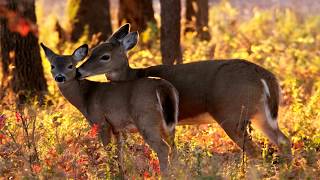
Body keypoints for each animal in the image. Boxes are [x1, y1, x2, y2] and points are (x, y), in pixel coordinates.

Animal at [39, 43, 179, 174]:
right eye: (52, 66)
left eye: (70, 66)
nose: (59, 77)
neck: (85, 98)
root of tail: (163, 88)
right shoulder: (116, 127)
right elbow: (119, 153)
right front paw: (121, 173)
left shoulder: (101, 122)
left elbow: (108, 151)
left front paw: (111, 173)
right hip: (168, 122)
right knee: (173, 145)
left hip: (145, 119)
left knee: (163, 148)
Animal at [77, 23, 292, 159]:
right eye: (92, 51)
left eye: (105, 56)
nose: (79, 71)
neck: (132, 75)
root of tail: (265, 75)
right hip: (260, 113)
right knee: (284, 141)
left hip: (231, 114)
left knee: (255, 151)